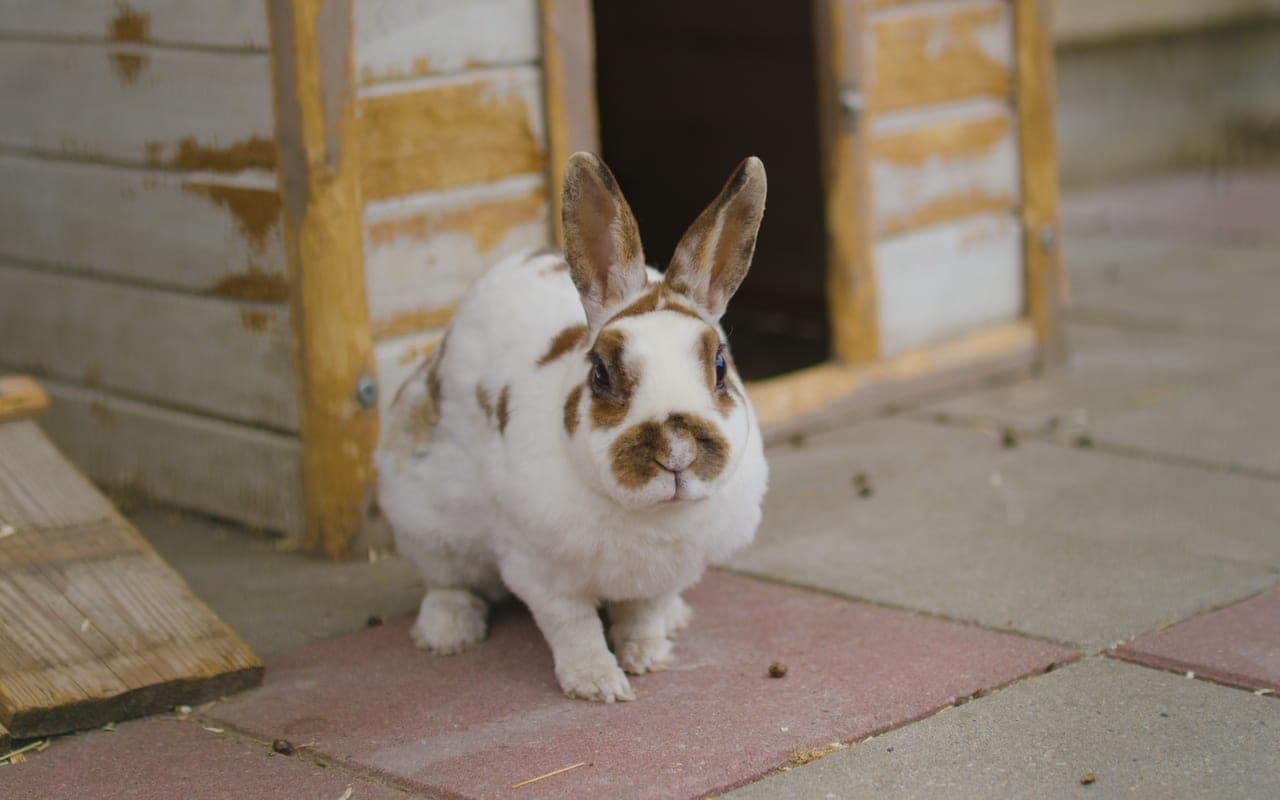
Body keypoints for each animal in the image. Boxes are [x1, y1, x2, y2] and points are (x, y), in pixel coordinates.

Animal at [376, 152, 769, 702]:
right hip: (423, 514)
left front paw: (647, 657)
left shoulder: (663, 574)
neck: (652, 516)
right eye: (602, 374)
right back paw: (447, 632)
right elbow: (573, 628)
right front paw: (598, 684)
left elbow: (642, 615)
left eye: (719, 366)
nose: (676, 452)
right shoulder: (542, 572)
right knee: (449, 580)